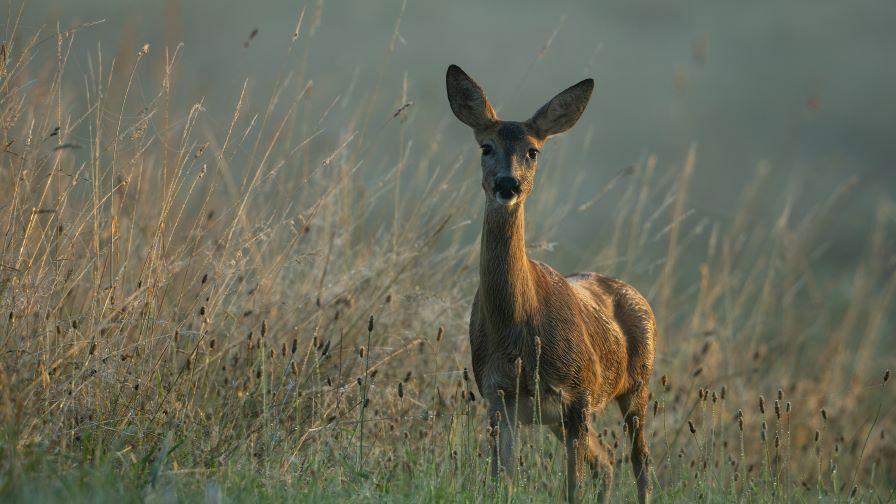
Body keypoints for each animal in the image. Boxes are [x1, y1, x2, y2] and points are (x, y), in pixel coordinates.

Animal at [444, 64, 656, 504]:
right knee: (607, 463)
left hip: (637, 383)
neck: (519, 336)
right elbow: (501, 482)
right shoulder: (498, 397)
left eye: (533, 151)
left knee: (640, 461)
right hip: (562, 418)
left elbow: (573, 489)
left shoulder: (577, 393)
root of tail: (636, 293)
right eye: (485, 147)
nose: (508, 184)